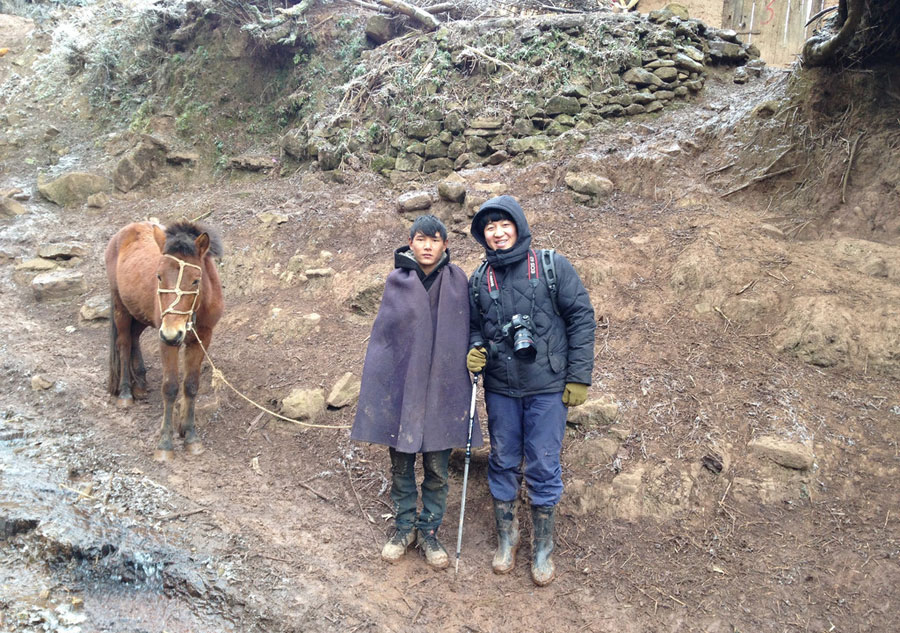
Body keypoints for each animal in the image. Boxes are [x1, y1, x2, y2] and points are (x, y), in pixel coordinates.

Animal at [106, 220, 224, 462]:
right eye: (159, 276)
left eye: (195, 280)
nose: (172, 333)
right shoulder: (167, 342)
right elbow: (170, 387)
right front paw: (165, 444)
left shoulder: (201, 339)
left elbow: (191, 385)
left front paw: (190, 437)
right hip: (121, 307)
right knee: (124, 343)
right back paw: (125, 393)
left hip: (140, 313)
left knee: (134, 337)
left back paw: (140, 385)